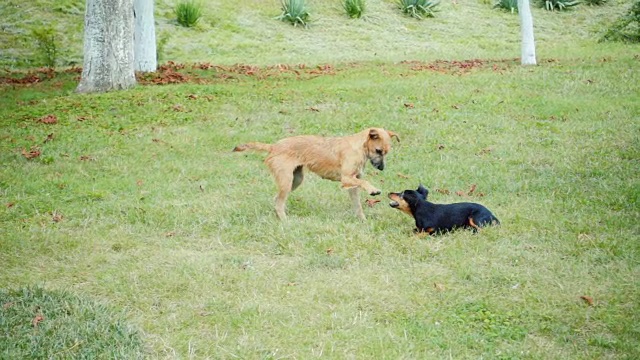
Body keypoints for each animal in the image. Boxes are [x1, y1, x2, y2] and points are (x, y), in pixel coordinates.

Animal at [232, 128, 398, 221]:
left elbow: (357, 205)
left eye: (386, 152)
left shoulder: (352, 184)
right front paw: (373, 190)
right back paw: (285, 221)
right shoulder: (346, 178)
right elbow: (365, 183)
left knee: (277, 200)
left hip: (296, 179)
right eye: (378, 151)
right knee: (279, 201)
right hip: (287, 180)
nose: (381, 168)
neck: (358, 147)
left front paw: (363, 220)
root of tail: (273, 147)